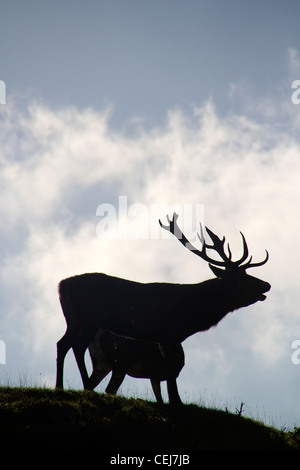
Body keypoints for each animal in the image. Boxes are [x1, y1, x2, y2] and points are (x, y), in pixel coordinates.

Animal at [55, 213, 270, 404]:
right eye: (241, 278)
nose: (266, 285)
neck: (193, 314)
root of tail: (62, 285)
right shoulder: (168, 333)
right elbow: (170, 371)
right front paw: (176, 402)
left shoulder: (164, 337)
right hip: (88, 319)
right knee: (75, 346)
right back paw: (81, 387)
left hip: (73, 320)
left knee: (63, 344)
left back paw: (64, 387)